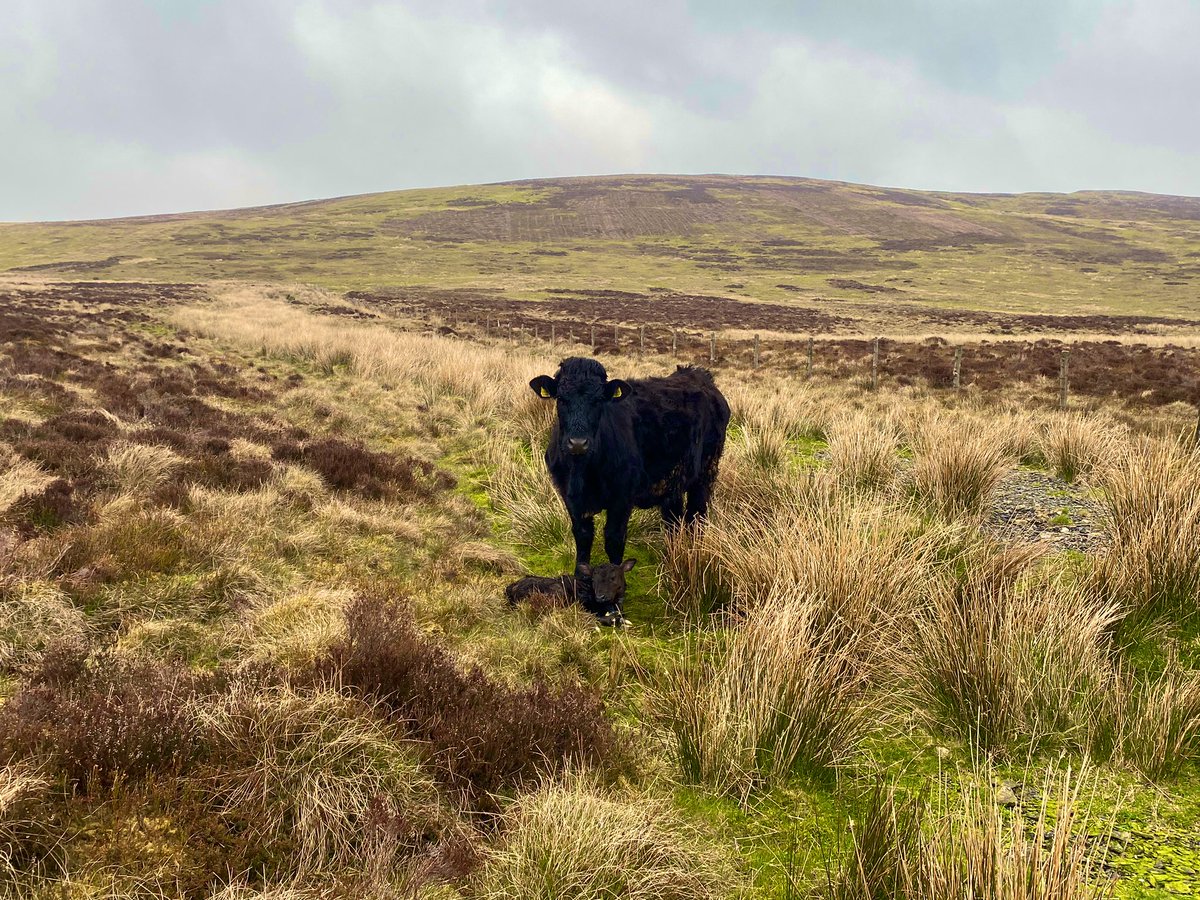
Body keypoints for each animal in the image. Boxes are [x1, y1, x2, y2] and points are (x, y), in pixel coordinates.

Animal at [505, 559, 635, 626]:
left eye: (613, 578)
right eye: (593, 579)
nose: (600, 597)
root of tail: (511, 588)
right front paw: (619, 620)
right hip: (557, 593)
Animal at [529, 357, 730, 573]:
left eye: (599, 400)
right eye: (561, 399)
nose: (577, 443)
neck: (582, 471)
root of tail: (697, 373)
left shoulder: (622, 498)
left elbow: (614, 539)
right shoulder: (570, 497)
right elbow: (583, 538)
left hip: (706, 471)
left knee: (696, 516)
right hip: (673, 480)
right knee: (674, 520)